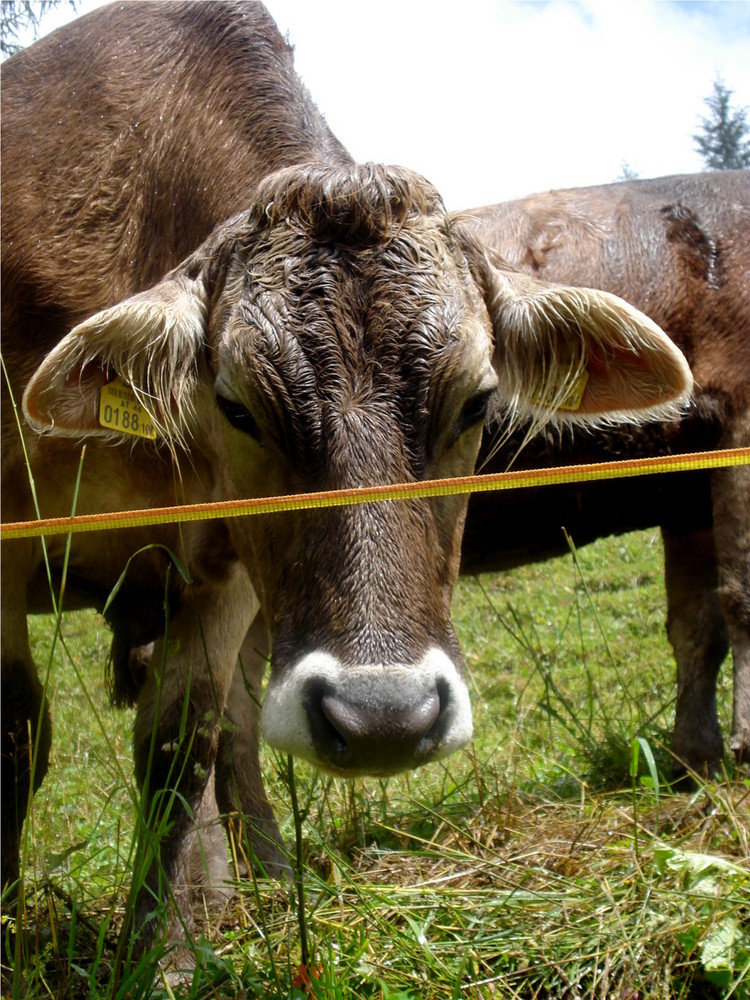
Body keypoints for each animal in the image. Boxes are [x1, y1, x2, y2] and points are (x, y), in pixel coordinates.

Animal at [0, 3, 692, 964]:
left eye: (479, 399)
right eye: (235, 404)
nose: (385, 716)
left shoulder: (223, 567)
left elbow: (182, 742)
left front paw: (165, 953)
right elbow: (14, 739)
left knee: (236, 730)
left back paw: (245, 882)